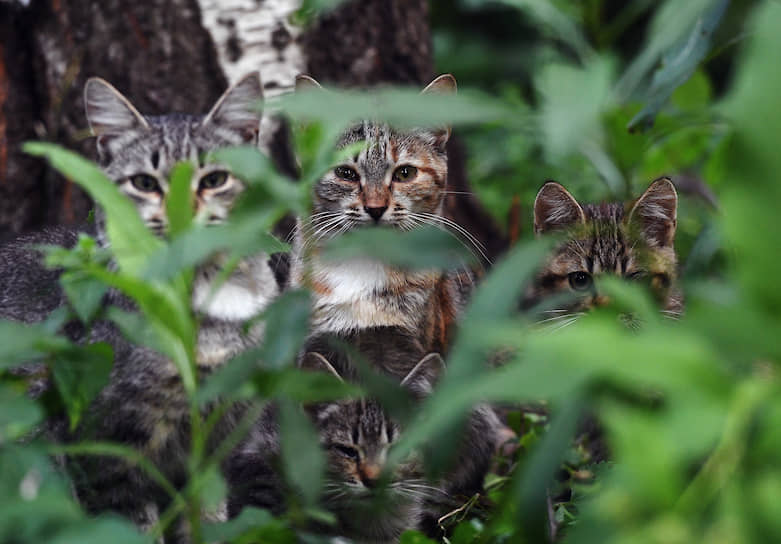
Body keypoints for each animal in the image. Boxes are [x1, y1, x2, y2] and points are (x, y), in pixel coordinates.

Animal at [60, 72, 280, 540]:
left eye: (214, 179)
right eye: (145, 183)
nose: (182, 215)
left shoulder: (215, 442)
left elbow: (206, 519)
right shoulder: (111, 451)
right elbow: (135, 527)